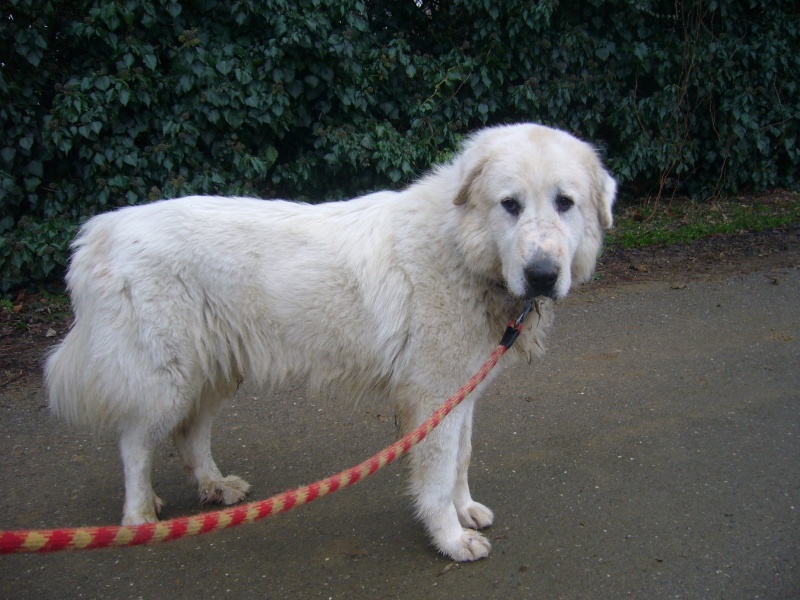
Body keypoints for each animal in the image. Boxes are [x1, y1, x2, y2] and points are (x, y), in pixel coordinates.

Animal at [47, 123, 616, 564]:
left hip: (214, 372)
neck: (460, 247)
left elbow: (461, 458)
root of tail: (104, 229)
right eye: (510, 205)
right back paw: (139, 517)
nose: (542, 275)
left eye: (565, 203)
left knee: (189, 435)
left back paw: (216, 486)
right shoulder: (432, 398)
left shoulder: (460, 392)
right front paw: (450, 539)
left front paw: (464, 510)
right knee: (135, 444)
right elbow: (436, 475)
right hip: (168, 376)